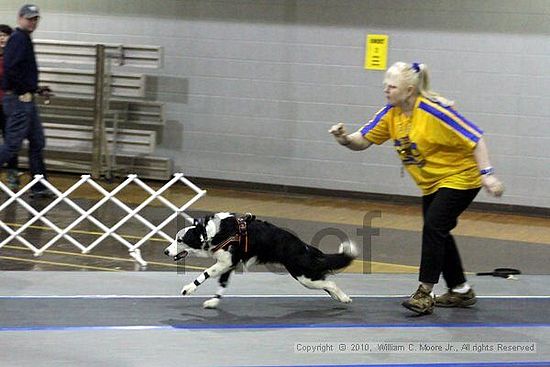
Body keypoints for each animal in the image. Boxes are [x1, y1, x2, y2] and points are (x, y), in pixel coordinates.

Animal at [164, 211, 358, 310]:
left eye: (180, 240)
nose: (165, 251)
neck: (214, 233)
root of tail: (305, 247)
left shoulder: (225, 262)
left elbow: (206, 273)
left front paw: (189, 288)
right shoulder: (229, 264)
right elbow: (222, 284)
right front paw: (214, 301)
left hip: (303, 275)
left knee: (330, 283)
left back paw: (344, 298)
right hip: (307, 276)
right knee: (326, 283)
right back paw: (341, 298)